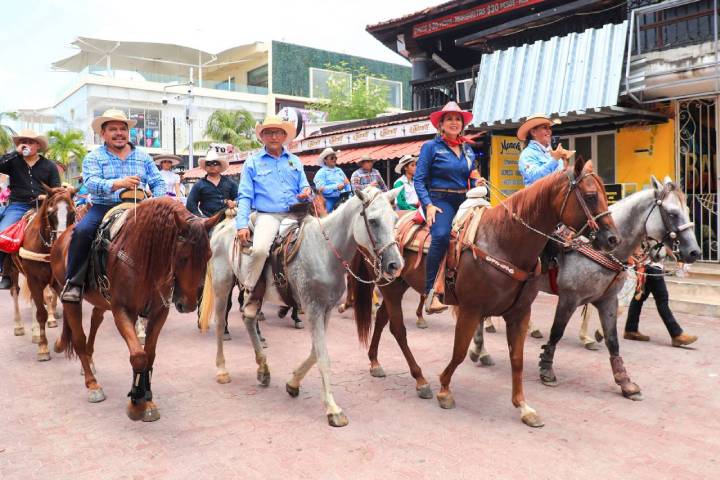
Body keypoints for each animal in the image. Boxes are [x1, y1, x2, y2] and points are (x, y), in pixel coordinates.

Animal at [50, 198, 221, 420]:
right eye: (182, 257)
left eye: (208, 255)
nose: (189, 303)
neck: (144, 259)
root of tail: (62, 237)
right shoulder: (123, 311)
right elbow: (138, 356)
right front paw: (136, 402)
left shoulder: (159, 313)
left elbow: (150, 354)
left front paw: (147, 399)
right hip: (71, 296)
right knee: (78, 337)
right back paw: (92, 384)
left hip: (101, 300)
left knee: (95, 320)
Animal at [200, 188, 402, 428]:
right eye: (372, 221)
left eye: (395, 219)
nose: (395, 265)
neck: (324, 252)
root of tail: (224, 225)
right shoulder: (313, 309)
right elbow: (323, 357)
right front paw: (333, 409)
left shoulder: (326, 310)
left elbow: (315, 352)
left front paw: (293, 382)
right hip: (222, 285)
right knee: (221, 324)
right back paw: (222, 370)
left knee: (248, 318)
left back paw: (263, 368)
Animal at [350, 158, 620, 428]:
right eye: (591, 196)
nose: (613, 239)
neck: (502, 241)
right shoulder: (471, 310)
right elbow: (459, 351)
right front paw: (444, 390)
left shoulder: (520, 313)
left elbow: (517, 359)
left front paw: (524, 406)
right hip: (389, 286)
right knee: (397, 329)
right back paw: (420, 380)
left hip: (398, 285)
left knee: (382, 319)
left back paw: (375, 361)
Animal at [470, 175, 700, 398]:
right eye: (672, 214)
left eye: (688, 210)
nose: (694, 252)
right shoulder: (569, 298)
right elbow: (557, 331)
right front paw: (546, 368)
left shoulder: (607, 300)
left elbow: (612, 340)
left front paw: (624, 381)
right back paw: (482, 348)